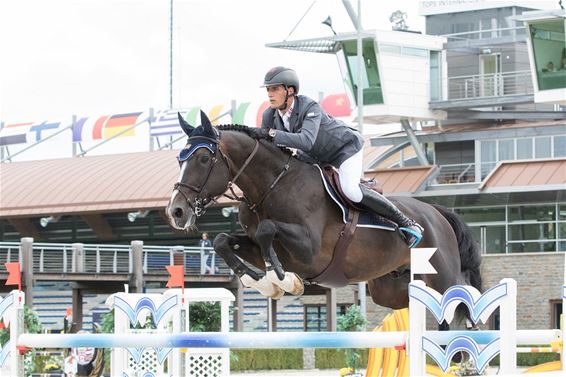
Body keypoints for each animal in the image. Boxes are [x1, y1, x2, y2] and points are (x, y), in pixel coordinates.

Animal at [165, 112, 484, 318]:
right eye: (179, 159)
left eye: (203, 158)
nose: (176, 212)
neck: (271, 186)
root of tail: (437, 212)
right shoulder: (254, 244)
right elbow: (222, 240)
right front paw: (259, 279)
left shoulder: (310, 250)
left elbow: (268, 229)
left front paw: (282, 278)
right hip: (390, 288)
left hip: (442, 275)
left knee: (461, 301)